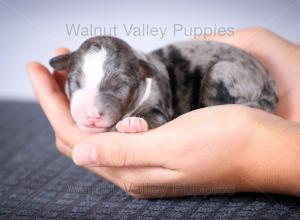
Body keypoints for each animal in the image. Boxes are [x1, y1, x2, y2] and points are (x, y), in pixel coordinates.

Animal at [49, 35, 278, 134]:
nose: (91, 115)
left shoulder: (159, 108)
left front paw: (133, 123)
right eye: (75, 81)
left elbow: (153, 116)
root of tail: (269, 82)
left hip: (223, 72)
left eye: (120, 85)